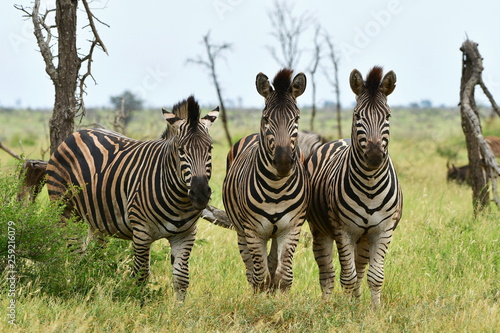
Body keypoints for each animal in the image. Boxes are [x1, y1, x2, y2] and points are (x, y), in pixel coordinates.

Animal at [46, 96, 218, 300]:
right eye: (181, 150)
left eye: (210, 148)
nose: (200, 194)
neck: (180, 201)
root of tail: (76, 134)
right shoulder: (142, 231)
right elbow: (141, 275)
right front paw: (137, 303)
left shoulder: (186, 234)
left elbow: (181, 279)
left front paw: (179, 308)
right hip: (66, 210)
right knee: (72, 251)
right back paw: (73, 284)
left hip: (97, 220)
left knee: (92, 256)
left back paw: (91, 285)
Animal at [222, 68, 308, 292]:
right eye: (266, 118)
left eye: (296, 118)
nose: (284, 162)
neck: (276, 188)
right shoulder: (253, 231)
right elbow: (260, 277)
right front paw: (259, 300)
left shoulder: (291, 228)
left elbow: (283, 277)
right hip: (241, 230)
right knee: (251, 268)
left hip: (276, 233)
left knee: (272, 265)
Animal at [306, 65, 404, 306]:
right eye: (358, 115)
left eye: (388, 116)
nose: (375, 156)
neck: (370, 184)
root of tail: (341, 139)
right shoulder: (344, 230)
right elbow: (347, 277)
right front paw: (349, 310)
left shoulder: (383, 230)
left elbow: (374, 276)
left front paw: (373, 309)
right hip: (320, 230)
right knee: (328, 272)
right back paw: (327, 304)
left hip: (365, 238)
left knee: (359, 270)